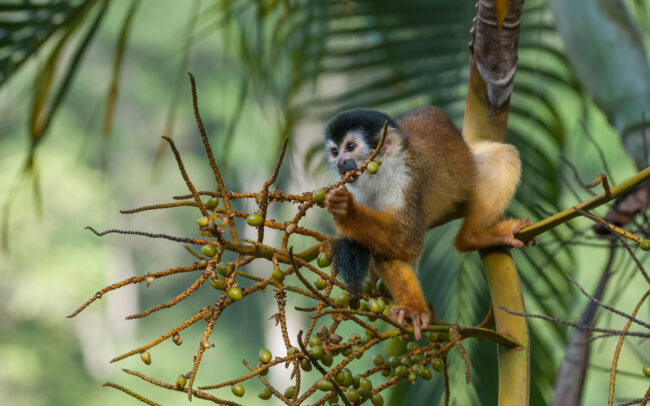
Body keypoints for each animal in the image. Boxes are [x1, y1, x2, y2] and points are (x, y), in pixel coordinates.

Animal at [323, 107, 531, 340]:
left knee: (504, 155)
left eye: (350, 147)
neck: (379, 175)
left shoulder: (407, 181)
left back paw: (473, 237)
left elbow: (408, 242)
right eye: (334, 151)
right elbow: (392, 251)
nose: (340, 163)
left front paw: (346, 210)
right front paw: (413, 308)